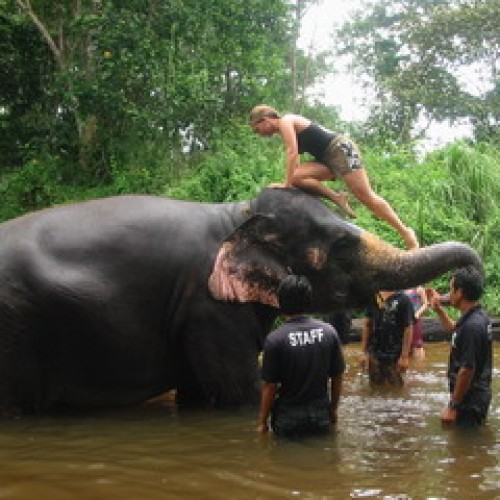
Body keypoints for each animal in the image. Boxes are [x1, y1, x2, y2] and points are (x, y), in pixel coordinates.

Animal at [0, 188, 480, 414]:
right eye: (342, 242)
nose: (474, 272)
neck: (238, 214)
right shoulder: (207, 306)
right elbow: (239, 392)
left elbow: (199, 394)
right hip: (16, 328)